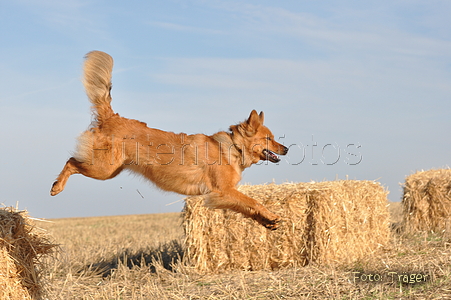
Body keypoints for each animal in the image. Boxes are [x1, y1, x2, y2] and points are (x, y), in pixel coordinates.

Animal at [50, 51, 290, 230]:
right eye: (268, 138)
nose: (286, 149)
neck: (233, 148)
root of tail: (112, 116)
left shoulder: (222, 196)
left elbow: (247, 208)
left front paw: (267, 221)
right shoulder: (222, 191)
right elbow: (253, 201)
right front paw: (269, 214)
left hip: (110, 170)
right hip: (102, 168)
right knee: (71, 162)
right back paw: (56, 186)